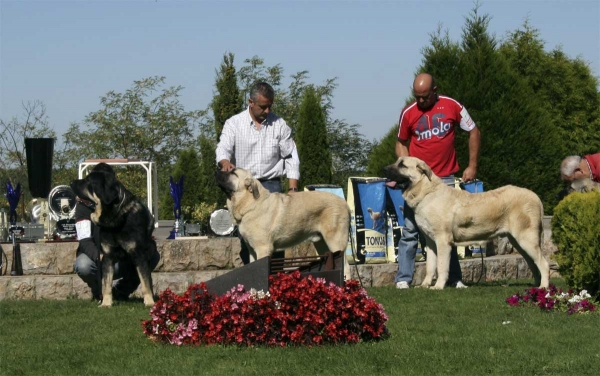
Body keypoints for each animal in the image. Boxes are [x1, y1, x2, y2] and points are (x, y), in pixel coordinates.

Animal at [70, 163, 157, 306]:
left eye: (88, 181)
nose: (71, 182)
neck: (115, 216)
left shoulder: (139, 255)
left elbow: (145, 283)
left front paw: (150, 302)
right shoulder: (108, 257)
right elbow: (106, 284)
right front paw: (106, 303)